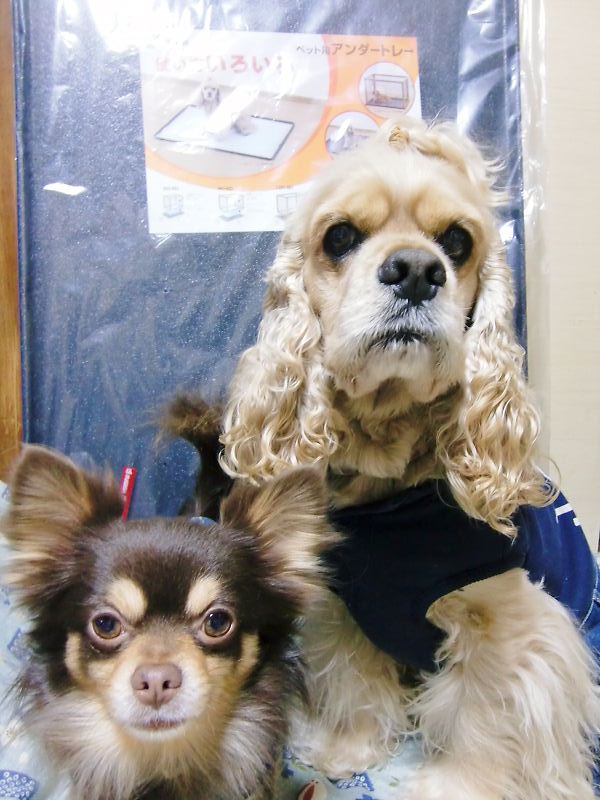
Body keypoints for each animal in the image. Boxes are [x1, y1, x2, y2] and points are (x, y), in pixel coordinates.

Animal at [217, 119, 600, 799]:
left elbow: (488, 711)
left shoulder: (510, 623)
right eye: (340, 236)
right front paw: (346, 751)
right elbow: (355, 684)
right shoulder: (344, 606)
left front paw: (459, 786)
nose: (418, 270)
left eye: (457, 241)